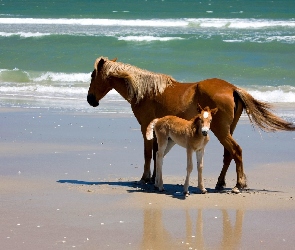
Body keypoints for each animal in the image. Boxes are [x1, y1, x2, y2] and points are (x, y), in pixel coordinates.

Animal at [86, 57, 294, 193]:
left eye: (92, 75)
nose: (90, 100)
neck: (146, 91)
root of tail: (233, 88)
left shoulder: (145, 127)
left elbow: (148, 154)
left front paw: (145, 179)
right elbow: (156, 154)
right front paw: (154, 179)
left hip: (221, 131)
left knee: (236, 151)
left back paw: (238, 185)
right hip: (227, 130)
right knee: (229, 155)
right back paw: (220, 183)